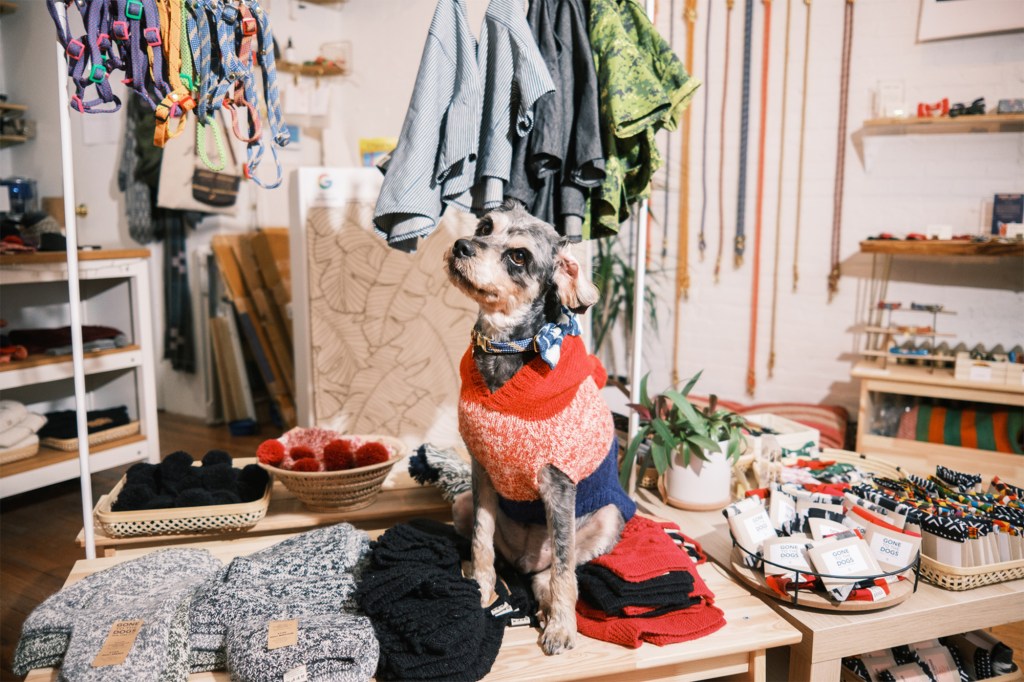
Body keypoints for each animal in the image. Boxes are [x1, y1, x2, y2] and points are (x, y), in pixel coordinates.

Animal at [444, 200, 634, 655]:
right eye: (484, 226)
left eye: (518, 256)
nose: (461, 246)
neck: (504, 350)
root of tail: (528, 558)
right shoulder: (481, 471)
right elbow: (480, 541)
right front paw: (480, 589)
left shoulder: (558, 485)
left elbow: (565, 570)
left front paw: (562, 627)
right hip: (462, 504)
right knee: (509, 562)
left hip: (608, 517)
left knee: (555, 571)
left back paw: (549, 604)